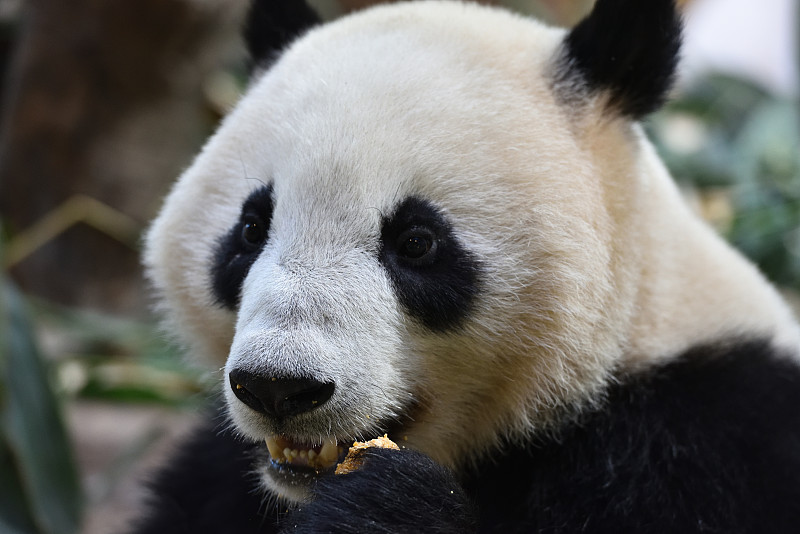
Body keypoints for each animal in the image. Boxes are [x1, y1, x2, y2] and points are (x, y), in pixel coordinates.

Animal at [133, 0, 800, 532]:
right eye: (251, 229)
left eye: (417, 243)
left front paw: (381, 508)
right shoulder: (216, 479)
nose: (279, 385)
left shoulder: (707, 440)